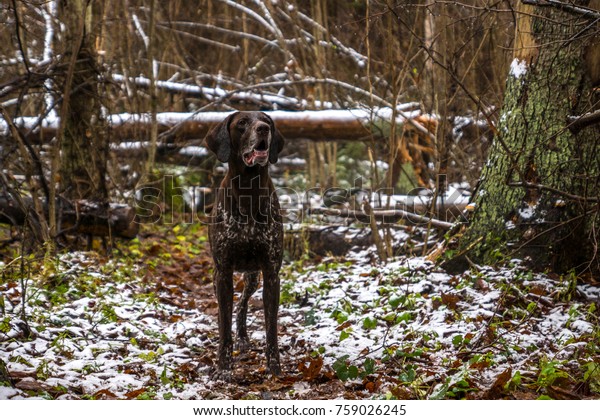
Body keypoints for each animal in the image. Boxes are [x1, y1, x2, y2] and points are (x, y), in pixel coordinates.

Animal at [205, 110, 284, 378]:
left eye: (267, 121)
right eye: (242, 123)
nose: (263, 129)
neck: (249, 189)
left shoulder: (271, 273)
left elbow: (271, 328)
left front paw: (274, 367)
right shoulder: (223, 272)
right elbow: (223, 325)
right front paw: (223, 367)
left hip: (253, 276)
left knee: (242, 304)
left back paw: (242, 336)